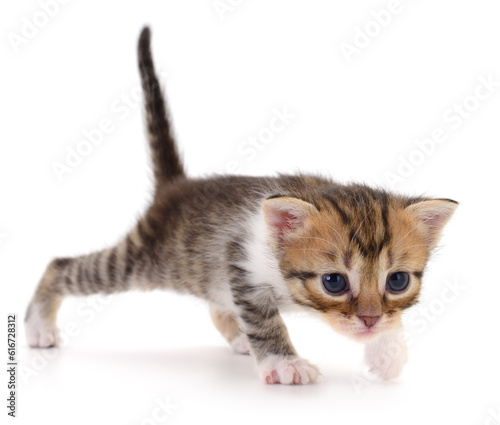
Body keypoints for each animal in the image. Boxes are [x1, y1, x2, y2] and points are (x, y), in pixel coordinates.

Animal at [26, 26, 458, 384]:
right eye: (333, 282)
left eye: (397, 280)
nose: (369, 321)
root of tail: (176, 187)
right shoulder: (241, 262)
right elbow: (264, 319)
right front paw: (284, 363)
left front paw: (388, 352)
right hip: (144, 259)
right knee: (64, 267)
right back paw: (38, 325)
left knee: (216, 304)